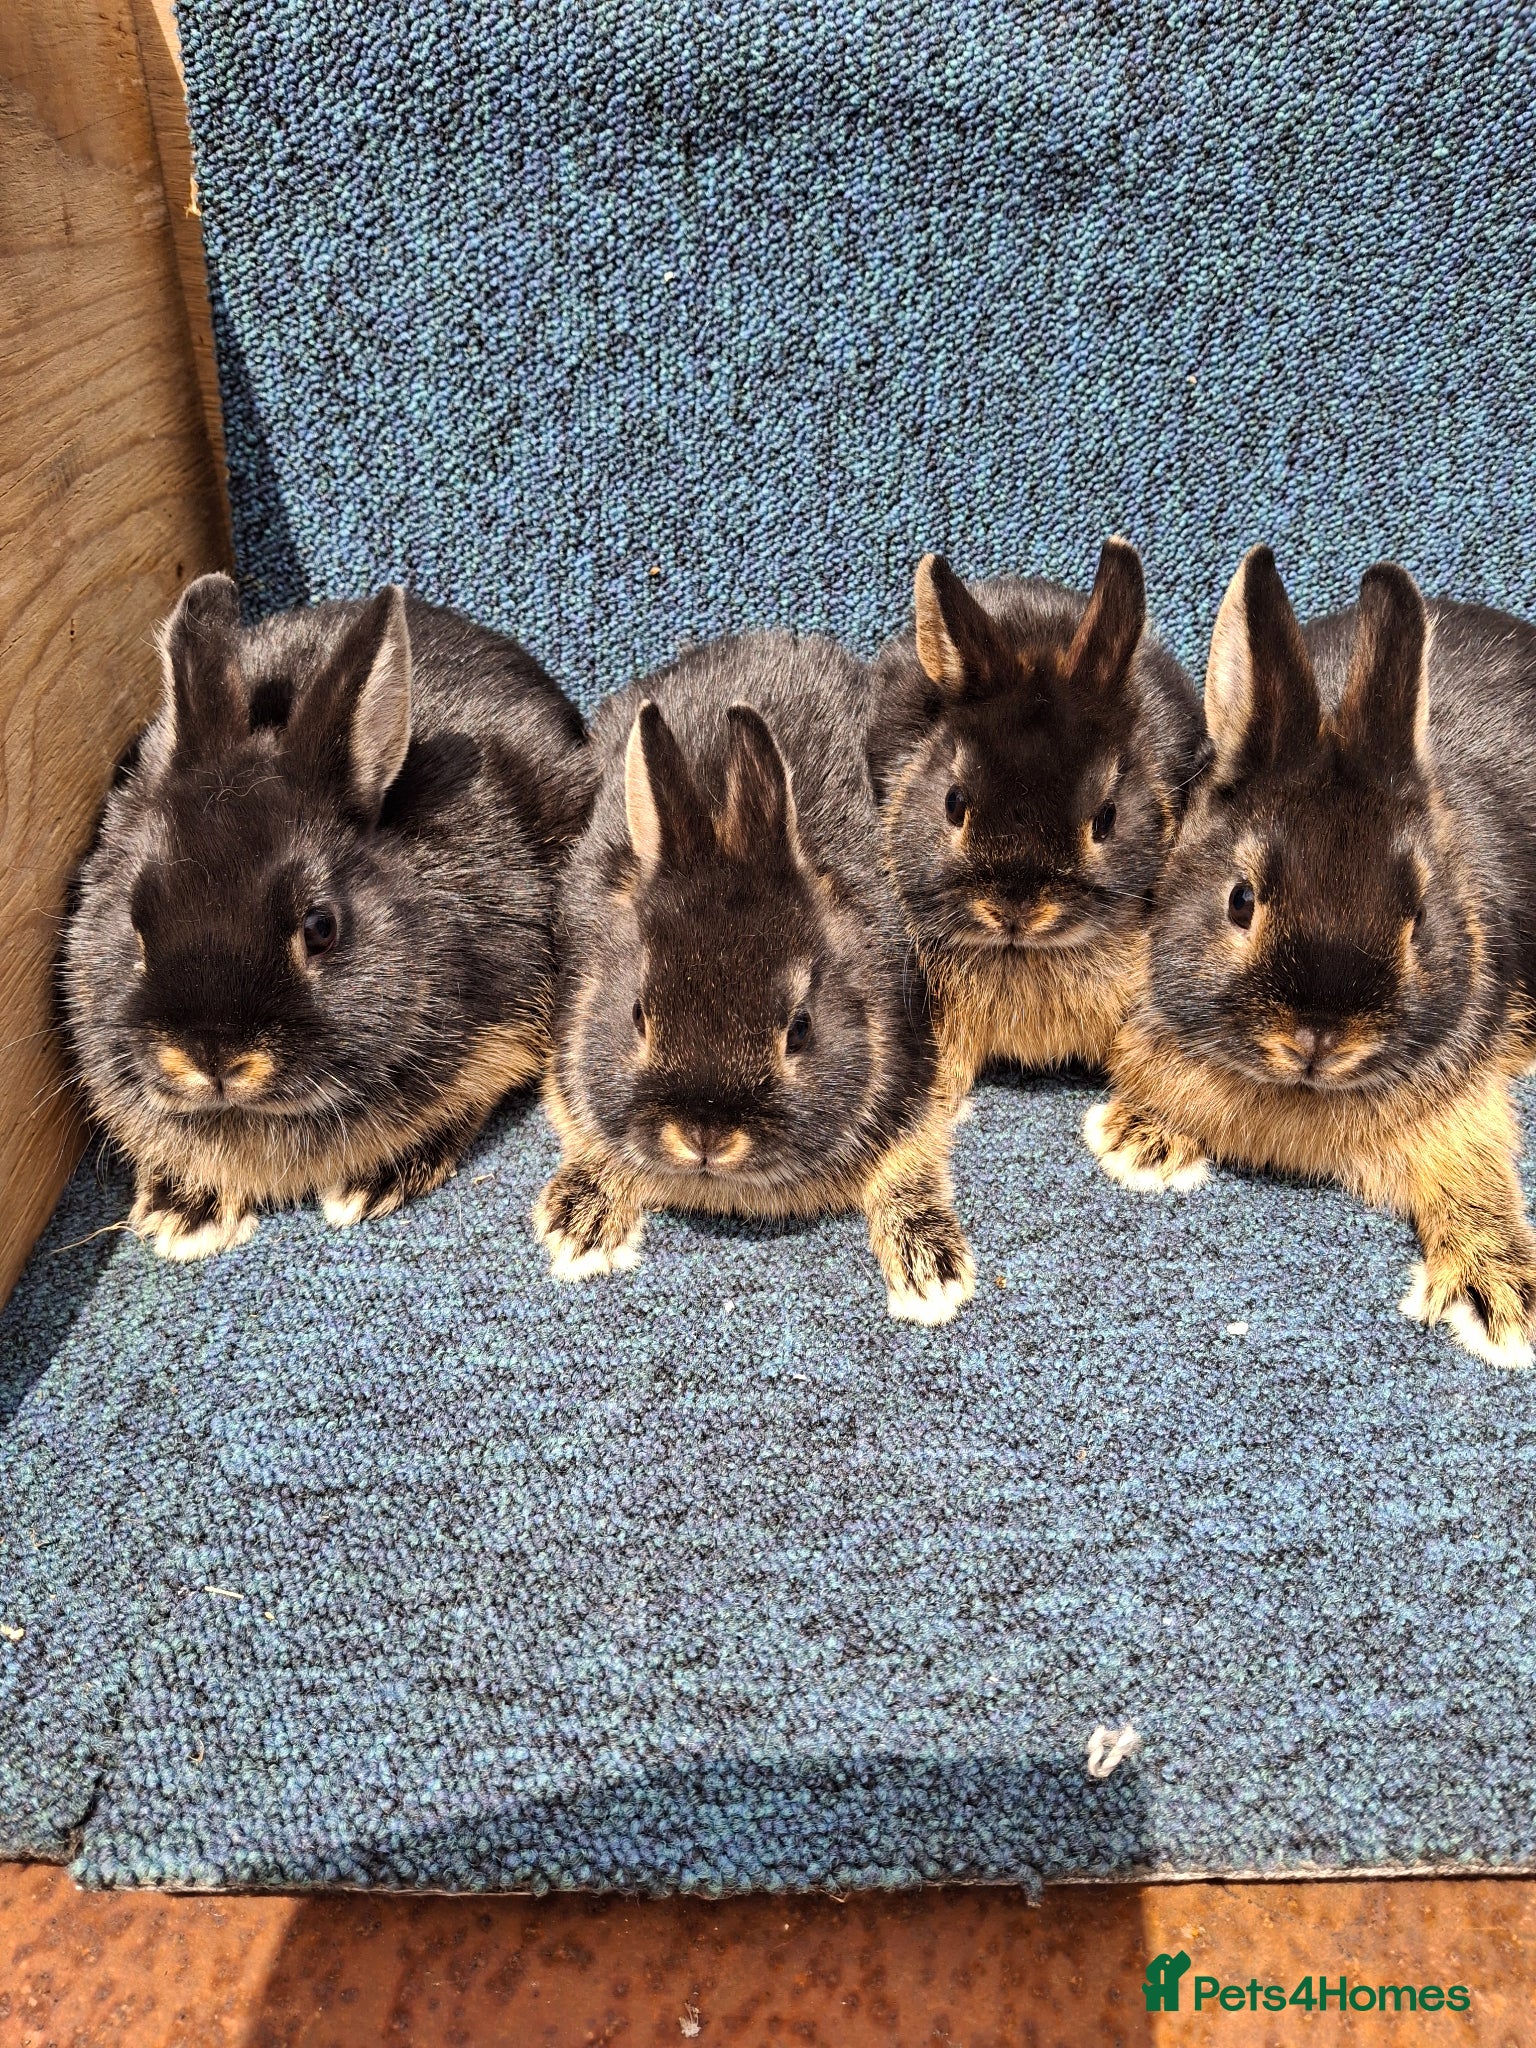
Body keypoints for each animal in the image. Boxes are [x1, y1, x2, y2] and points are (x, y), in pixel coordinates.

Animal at [533, 630, 976, 1324]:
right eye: (637, 1015)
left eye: (801, 1027)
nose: (706, 1137)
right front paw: (577, 1227)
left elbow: (911, 1164)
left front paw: (933, 1276)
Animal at [1086, 544, 1536, 1368]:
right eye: (1240, 900)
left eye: (1419, 919)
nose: (1318, 1039)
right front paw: (1140, 1141)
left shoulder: (1464, 1104)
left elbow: (1476, 1177)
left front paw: (1496, 1301)